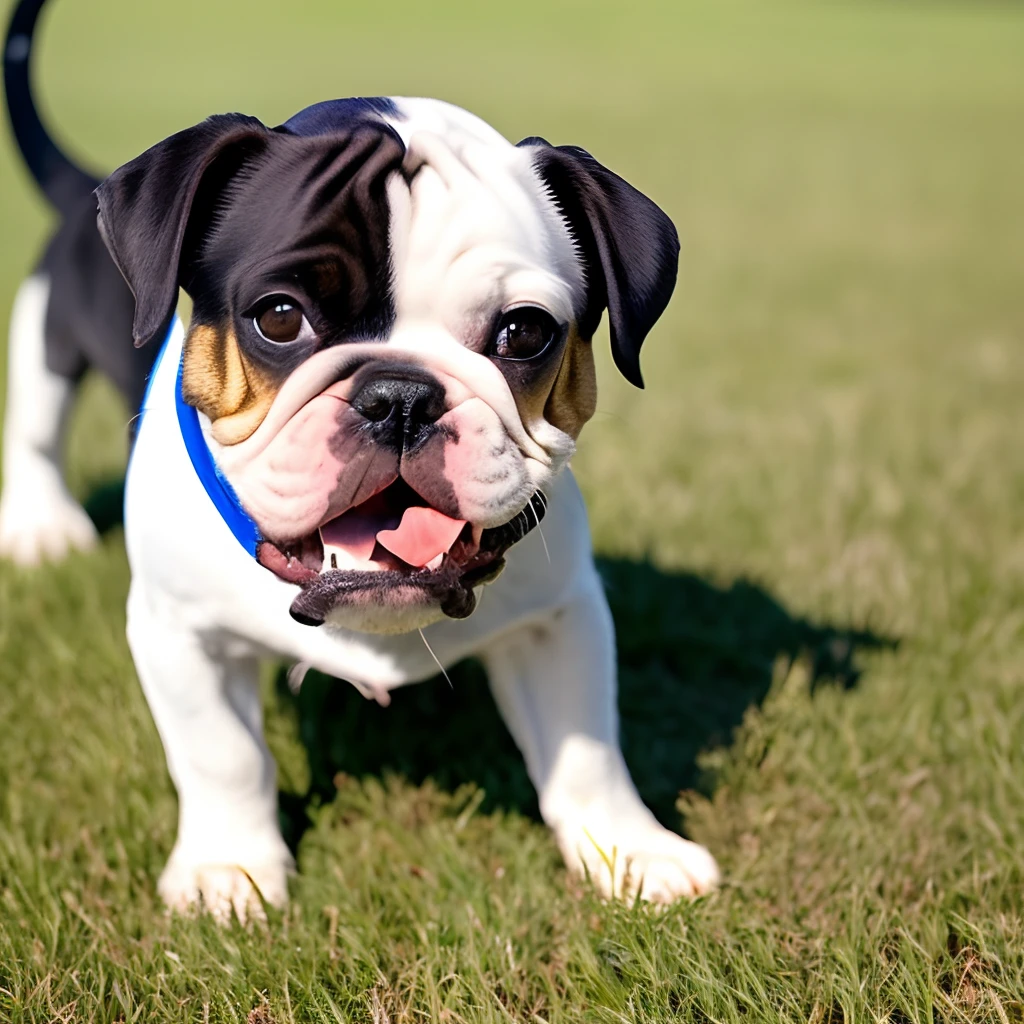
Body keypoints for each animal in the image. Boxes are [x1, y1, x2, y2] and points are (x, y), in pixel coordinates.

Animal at [0, 0, 720, 921]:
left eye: (525, 332)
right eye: (279, 317)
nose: (401, 396)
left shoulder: (561, 617)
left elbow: (586, 745)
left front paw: (628, 851)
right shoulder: (177, 630)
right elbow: (222, 754)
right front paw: (229, 870)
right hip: (45, 335)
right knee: (36, 426)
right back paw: (39, 526)